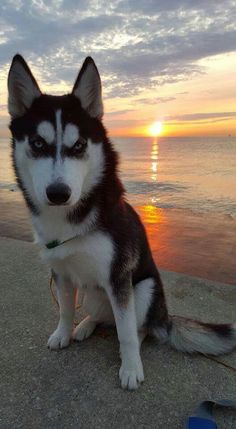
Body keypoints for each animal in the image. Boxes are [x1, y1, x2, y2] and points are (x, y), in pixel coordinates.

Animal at [7, 54, 236, 388]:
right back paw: (84, 326)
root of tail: (165, 318)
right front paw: (63, 333)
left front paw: (130, 368)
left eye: (79, 146)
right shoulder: (61, 271)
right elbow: (64, 310)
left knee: (138, 328)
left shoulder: (119, 278)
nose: (59, 193)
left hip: (145, 291)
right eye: (37, 143)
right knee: (100, 315)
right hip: (91, 293)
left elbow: (126, 332)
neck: (71, 219)